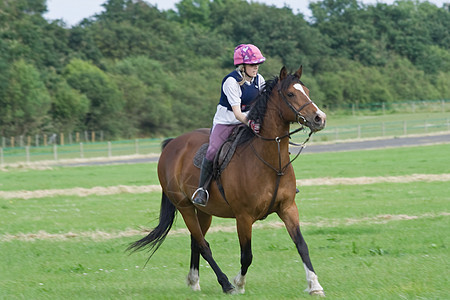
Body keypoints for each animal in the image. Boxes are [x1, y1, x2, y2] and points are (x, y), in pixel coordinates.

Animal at [128, 65, 326, 296]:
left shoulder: (288, 208)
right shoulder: (243, 217)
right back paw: (225, 283)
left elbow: (301, 245)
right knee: (203, 245)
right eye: (291, 94)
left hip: (204, 211)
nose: (319, 118)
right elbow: (246, 255)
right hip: (185, 207)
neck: (270, 162)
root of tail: (172, 144)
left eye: (307, 91)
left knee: (196, 242)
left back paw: (194, 281)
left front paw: (314, 285)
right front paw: (238, 283)